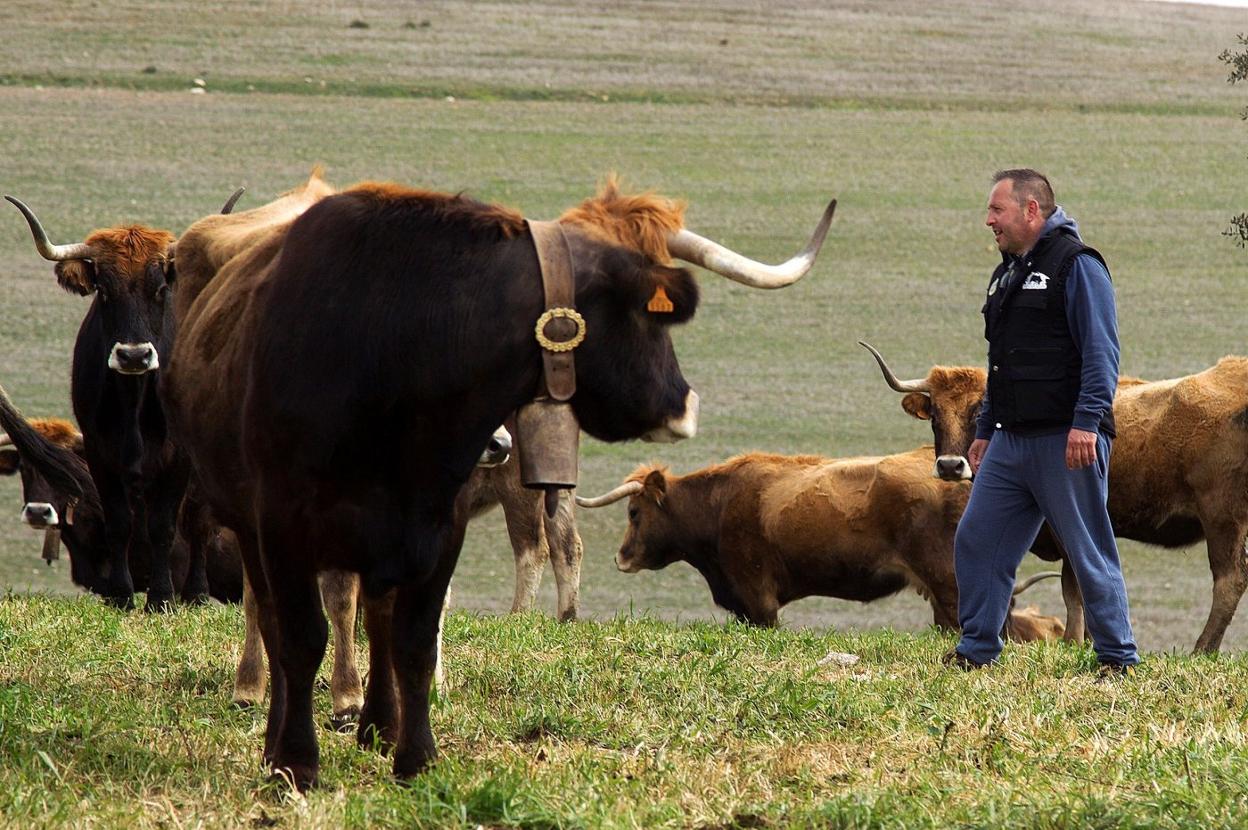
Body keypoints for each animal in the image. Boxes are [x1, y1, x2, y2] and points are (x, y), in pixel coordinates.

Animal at [5, 192, 243, 609]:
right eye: (104, 289)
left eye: (160, 289)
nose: (134, 356)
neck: (134, 401)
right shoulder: (100, 452)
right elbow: (121, 523)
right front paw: (122, 595)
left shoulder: (177, 458)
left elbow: (164, 525)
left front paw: (161, 598)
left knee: (198, 522)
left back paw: (196, 593)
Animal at [863, 339, 1248, 649]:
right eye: (935, 415)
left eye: (978, 411)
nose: (950, 466)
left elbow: (1074, 585)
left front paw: (1072, 642)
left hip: (1222, 517)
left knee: (1229, 580)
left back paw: (1202, 649)